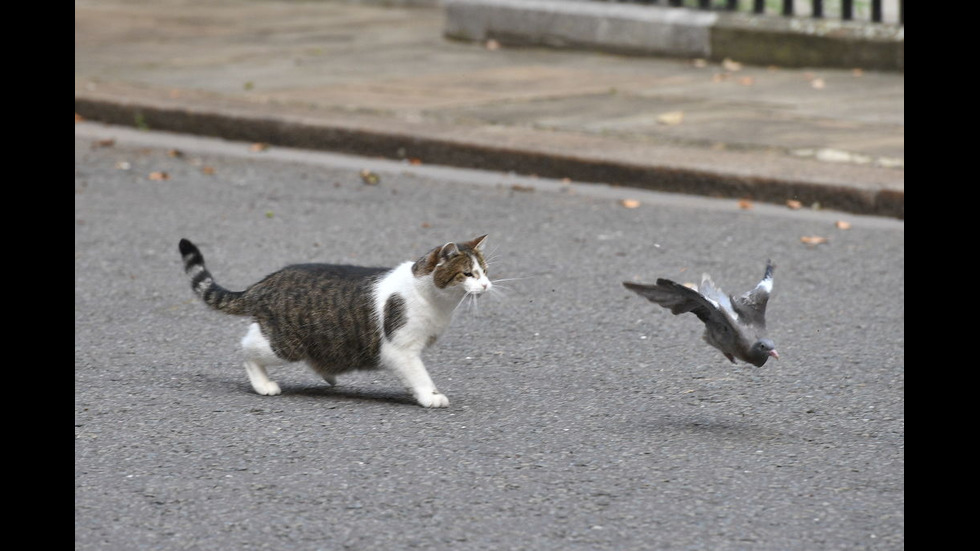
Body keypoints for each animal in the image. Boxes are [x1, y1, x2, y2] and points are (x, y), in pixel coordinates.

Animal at [177, 235, 494, 408]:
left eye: (485, 271)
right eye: (467, 274)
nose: (487, 286)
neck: (437, 301)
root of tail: (266, 283)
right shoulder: (401, 349)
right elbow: (420, 375)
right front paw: (430, 395)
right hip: (285, 344)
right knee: (246, 347)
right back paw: (263, 384)